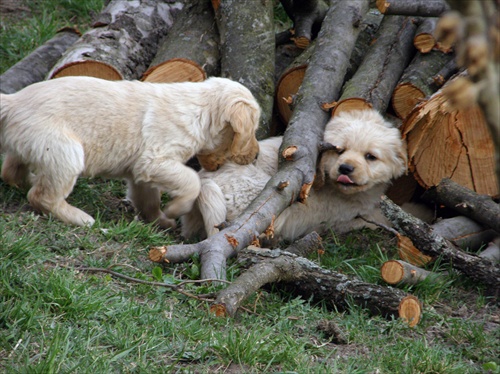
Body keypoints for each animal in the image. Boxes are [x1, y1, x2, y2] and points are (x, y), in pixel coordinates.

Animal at [0, 76, 262, 228]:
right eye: (253, 130)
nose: (257, 156)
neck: (201, 109)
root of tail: (13, 102)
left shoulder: (141, 171)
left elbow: (147, 198)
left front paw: (161, 220)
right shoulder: (154, 160)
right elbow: (191, 181)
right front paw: (176, 209)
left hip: (35, 145)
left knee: (12, 172)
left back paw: (32, 179)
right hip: (66, 150)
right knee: (41, 196)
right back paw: (80, 217)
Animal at [182, 108, 408, 243]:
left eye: (371, 157)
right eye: (339, 150)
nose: (345, 169)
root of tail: (204, 182)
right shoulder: (346, 215)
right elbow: (375, 219)